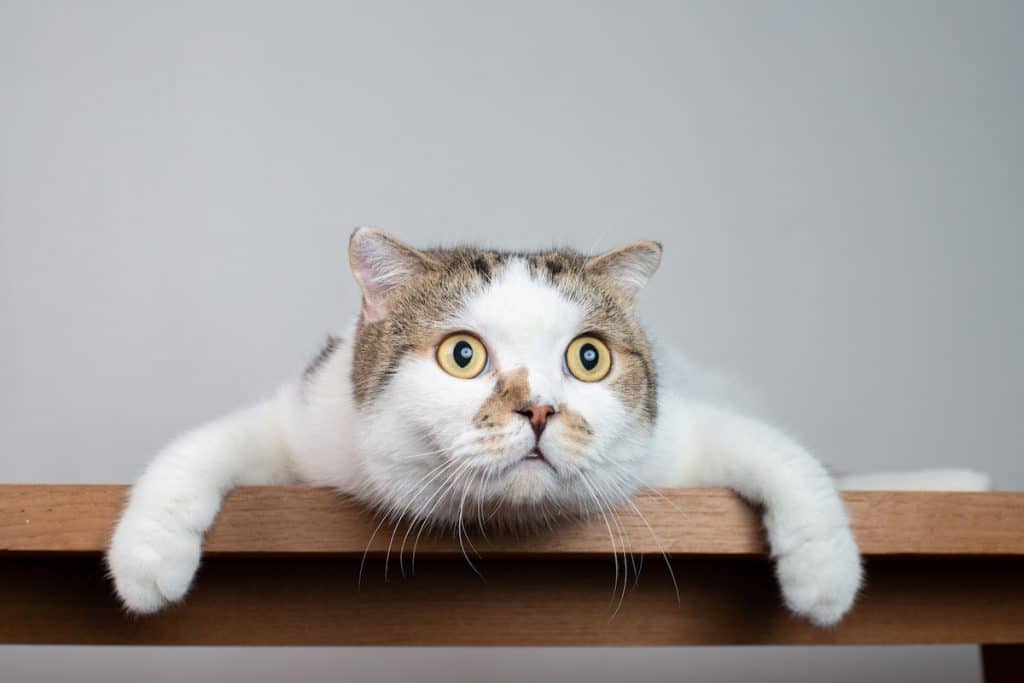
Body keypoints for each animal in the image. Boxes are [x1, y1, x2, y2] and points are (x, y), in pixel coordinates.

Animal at [108, 227, 987, 626]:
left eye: (589, 358)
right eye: (462, 354)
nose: (538, 409)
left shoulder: (679, 435)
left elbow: (786, 459)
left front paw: (824, 572)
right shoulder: (310, 421)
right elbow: (204, 446)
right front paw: (148, 554)